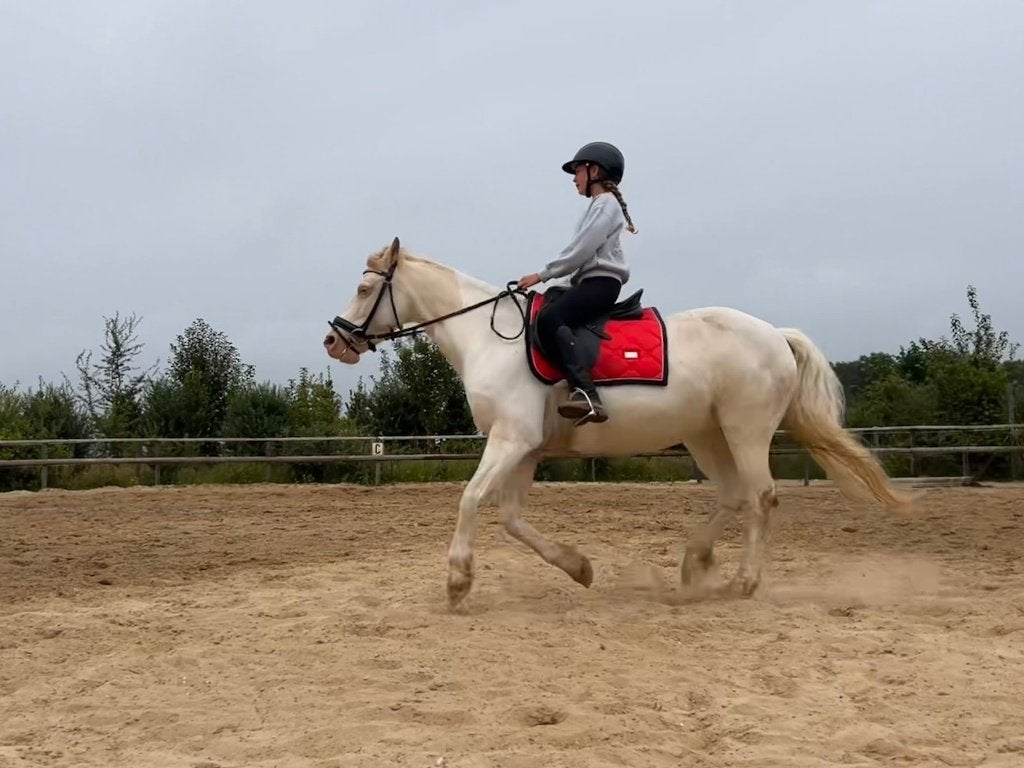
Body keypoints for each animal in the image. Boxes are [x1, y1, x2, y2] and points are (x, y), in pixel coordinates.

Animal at [323, 237, 914, 608]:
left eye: (363, 288)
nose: (334, 341)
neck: (489, 338)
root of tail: (774, 333)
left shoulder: (511, 440)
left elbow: (470, 499)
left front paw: (457, 581)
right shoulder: (525, 448)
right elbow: (512, 519)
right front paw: (579, 567)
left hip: (746, 431)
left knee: (761, 496)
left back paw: (744, 582)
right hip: (706, 435)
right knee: (733, 495)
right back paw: (693, 566)